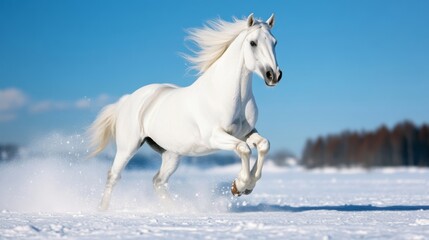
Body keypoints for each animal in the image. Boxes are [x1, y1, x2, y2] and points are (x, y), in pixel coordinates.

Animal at [88, 13, 280, 210]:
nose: (273, 75)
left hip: (171, 154)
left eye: (275, 42)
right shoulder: (215, 137)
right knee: (114, 176)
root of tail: (128, 99)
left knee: (158, 181)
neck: (226, 94)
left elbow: (263, 145)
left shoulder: (247, 132)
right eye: (252, 43)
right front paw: (239, 186)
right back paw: (103, 210)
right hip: (128, 147)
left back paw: (176, 209)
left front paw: (247, 186)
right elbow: (244, 149)